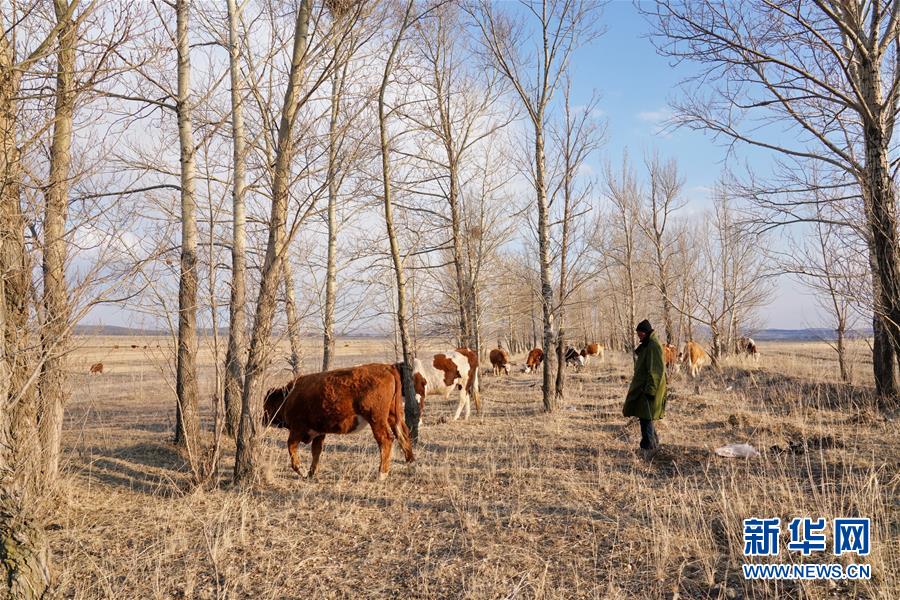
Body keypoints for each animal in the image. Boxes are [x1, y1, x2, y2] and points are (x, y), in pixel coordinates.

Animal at [262, 360, 414, 482]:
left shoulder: (296, 430)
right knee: (403, 434)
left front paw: (302, 470)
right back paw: (410, 463)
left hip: (376, 420)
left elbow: (291, 448)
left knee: (386, 440)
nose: (262, 419)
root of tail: (387, 367)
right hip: (393, 416)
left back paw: (381, 474)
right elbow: (316, 452)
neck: (289, 396)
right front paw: (311, 473)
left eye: (266, 405)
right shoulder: (319, 432)